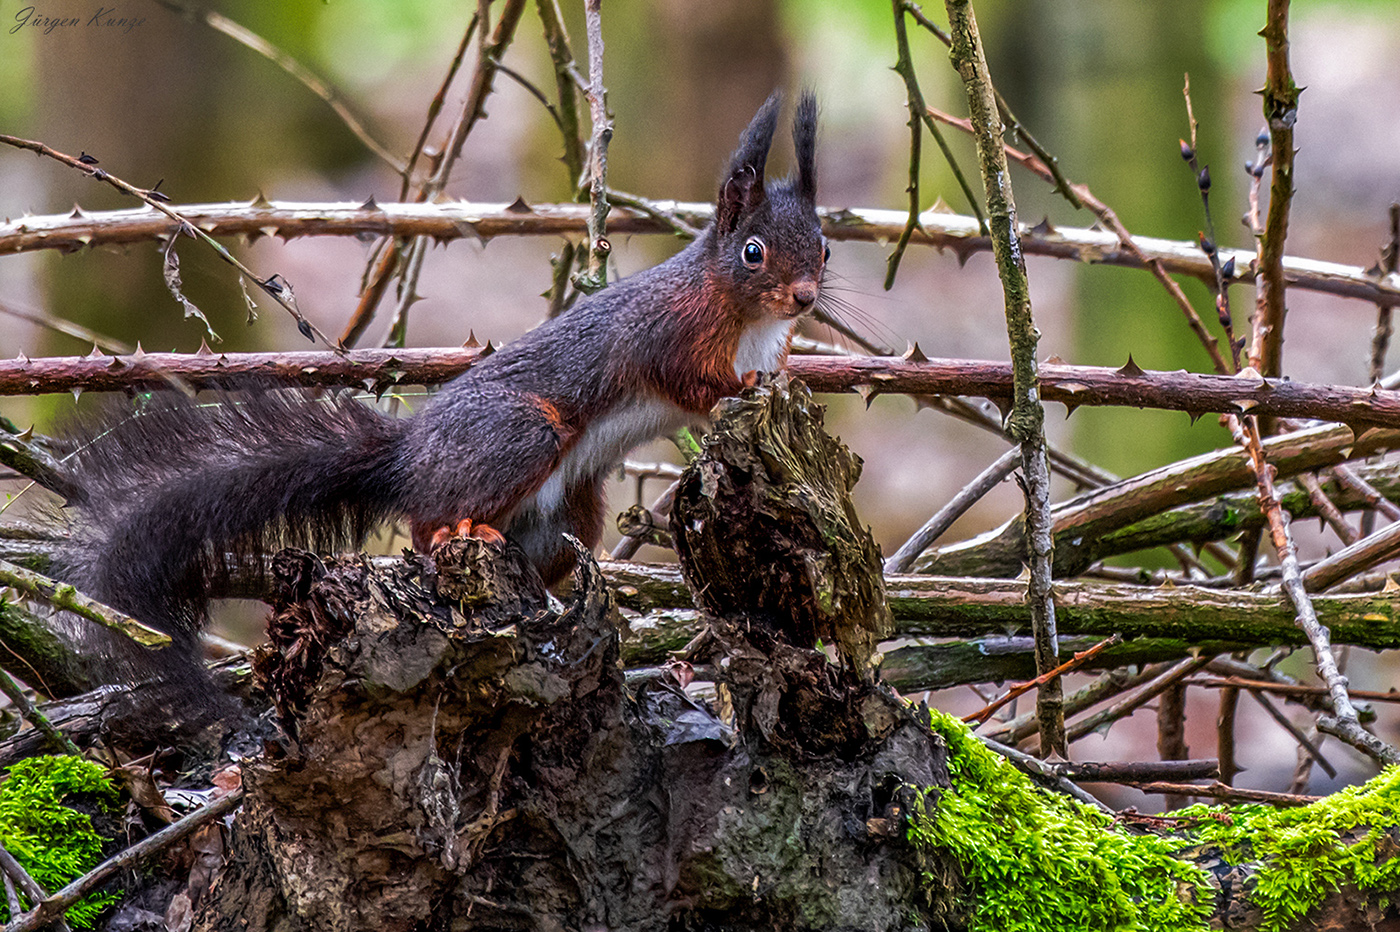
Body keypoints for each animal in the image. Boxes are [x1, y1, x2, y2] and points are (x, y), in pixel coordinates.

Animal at [54, 90, 823, 668]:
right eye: (753, 252)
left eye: (822, 247)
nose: (807, 298)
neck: (745, 316)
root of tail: (408, 457)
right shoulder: (663, 334)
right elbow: (684, 382)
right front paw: (736, 391)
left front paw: (778, 384)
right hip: (518, 433)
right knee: (425, 528)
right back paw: (460, 531)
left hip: (567, 514)